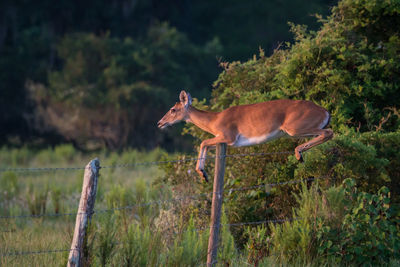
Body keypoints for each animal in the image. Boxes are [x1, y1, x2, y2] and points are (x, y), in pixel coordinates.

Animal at [158, 91, 332, 183]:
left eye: (173, 109)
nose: (160, 123)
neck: (215, 121)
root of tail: (325, 111)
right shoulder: (226, 141)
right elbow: (206, 144)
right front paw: (203, 174)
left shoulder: (229, 136)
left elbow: (203, 142)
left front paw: (203, 174)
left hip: (294, 127)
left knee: (329, 132)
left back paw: (298, 154)